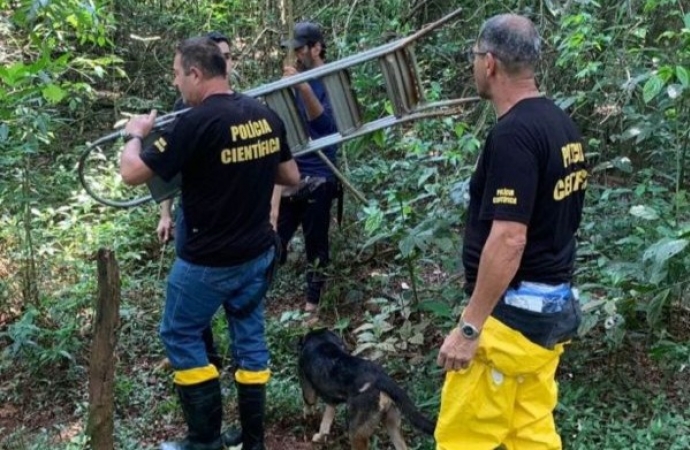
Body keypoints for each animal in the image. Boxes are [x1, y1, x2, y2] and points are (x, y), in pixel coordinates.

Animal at [296, 326, 436, 450]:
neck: (322, 341)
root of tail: (382, 378)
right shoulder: (332, 401)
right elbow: (327, 419)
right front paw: (320, 436)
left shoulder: (307, 388)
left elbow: (308, 406)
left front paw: (308, 419)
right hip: (392, 423)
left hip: (356, 432)